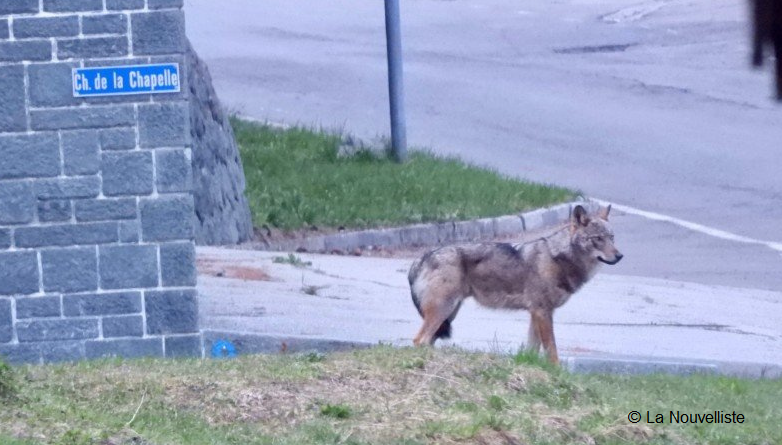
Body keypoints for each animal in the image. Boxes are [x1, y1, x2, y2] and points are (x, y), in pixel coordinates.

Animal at [410, 205, 624, 364]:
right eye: (597, 239)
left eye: (612, 238)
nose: (619, 256)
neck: (558, 258)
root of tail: (421, 258)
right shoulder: (542, 312)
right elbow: (552, 350)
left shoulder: (536, 313)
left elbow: (532, 350)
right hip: (443, 311)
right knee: (419, 340)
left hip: (448, 315)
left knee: (427, 340)